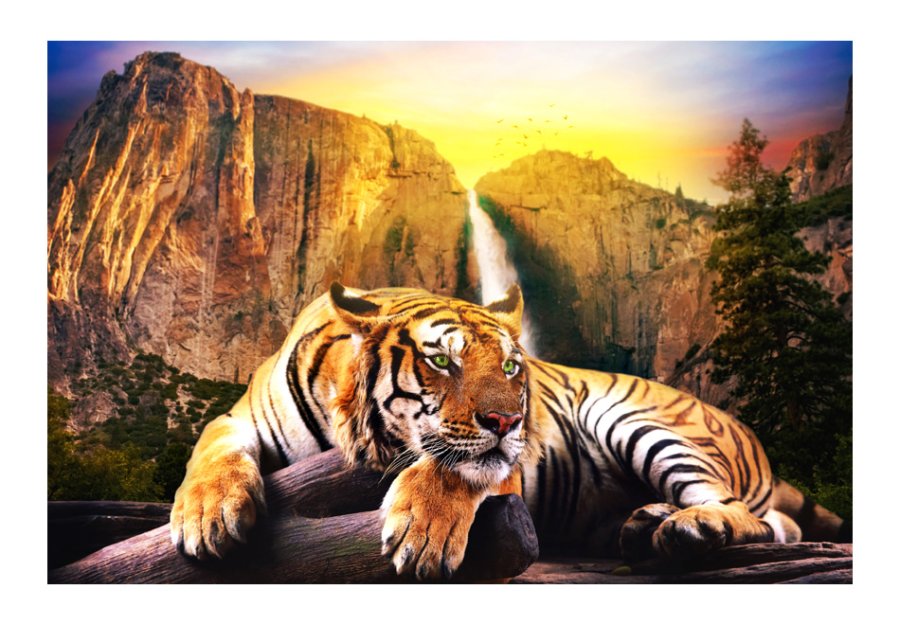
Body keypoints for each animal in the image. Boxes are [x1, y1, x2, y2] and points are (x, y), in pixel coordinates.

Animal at [170, 283, 849, 579]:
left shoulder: (500, 461)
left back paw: (687, 528)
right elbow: (210, 447)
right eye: (441, 360)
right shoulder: (239, 417)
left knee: (749, 516)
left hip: (638, 421)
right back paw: (644, 523)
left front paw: (421, 534)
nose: (509, 420)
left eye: (511, 366)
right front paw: (207, 517)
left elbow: (457, 467)